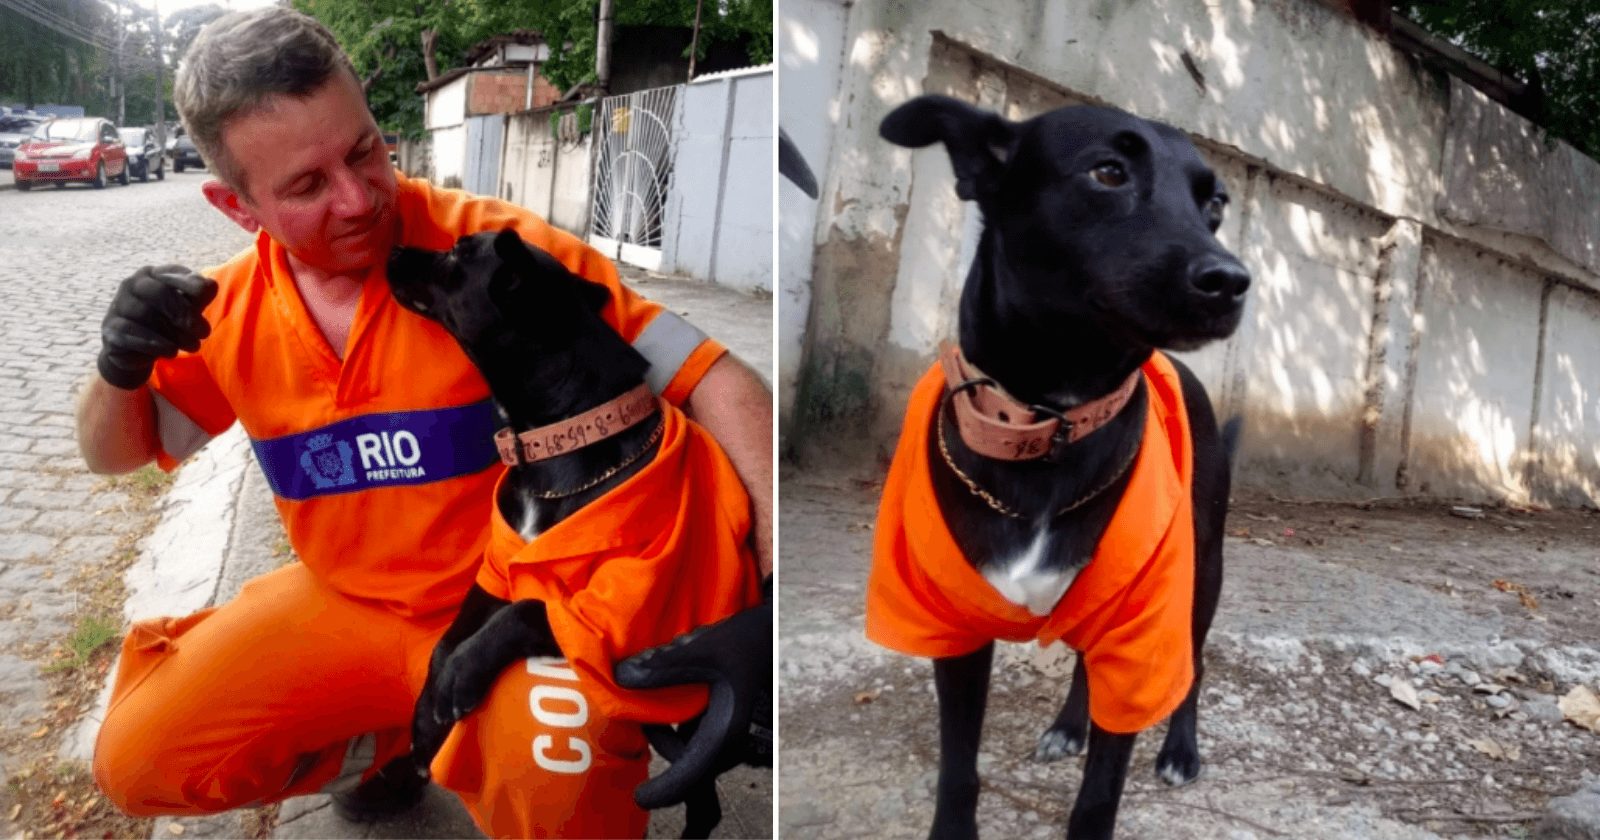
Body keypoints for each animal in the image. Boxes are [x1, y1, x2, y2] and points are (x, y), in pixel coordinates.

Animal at [374, 230, 726, 838]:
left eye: (458, 253)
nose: (393, 248)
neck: (559, 436)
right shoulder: (496, 567)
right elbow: (446, 640)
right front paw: (425, 719)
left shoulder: (614, 616)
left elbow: (527, 610)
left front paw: (463, 674)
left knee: (705, 802)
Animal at [876, 94, 1248, 832]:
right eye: (1107, 172)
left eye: (1215, 203)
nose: (1231, 281)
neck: (1052, 424)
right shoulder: (956, 632)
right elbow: (958, 768)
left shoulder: (1142, 632)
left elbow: (1100, 794)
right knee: (1086, 664)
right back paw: (1071, 725)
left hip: (1203, 571)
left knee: (1191, 667)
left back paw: (1180, 750)